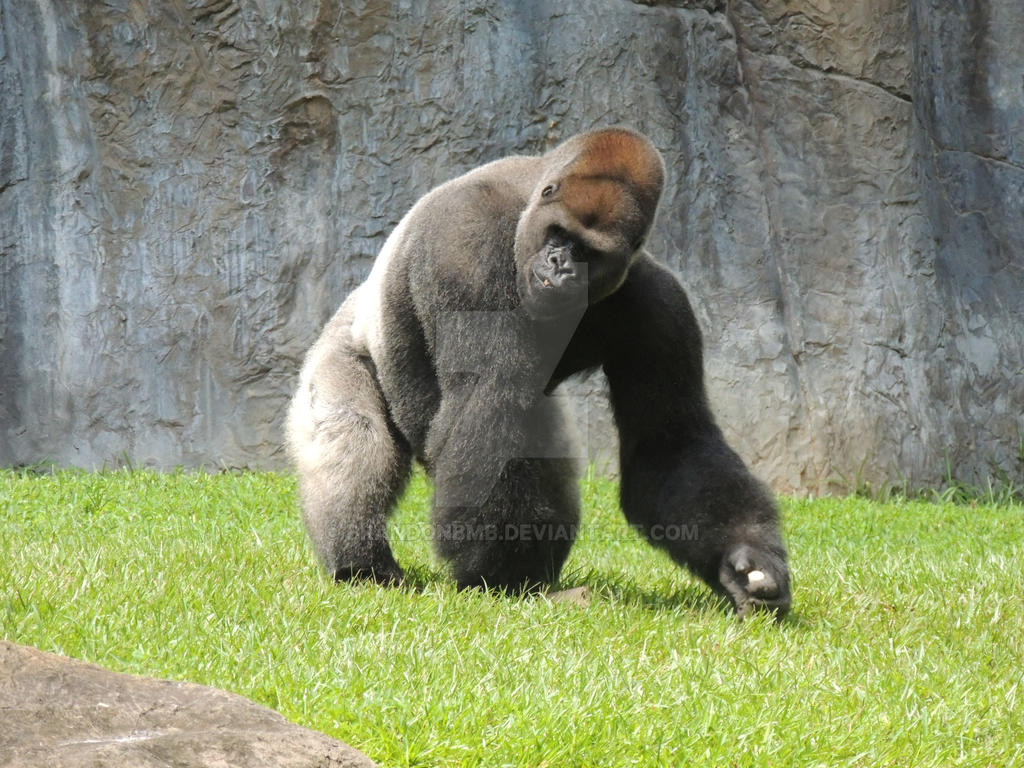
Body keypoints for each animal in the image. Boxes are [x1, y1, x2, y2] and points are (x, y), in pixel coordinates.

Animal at [286, 128, 790, 618]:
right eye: (560, 235)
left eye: (589, 252)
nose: (560, 265)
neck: (528, 201)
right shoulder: (465, 239)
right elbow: (493, 398)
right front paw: (498, 569)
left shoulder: (662, 306)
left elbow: (670, 442)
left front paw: (744, 559)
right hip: (342, 349)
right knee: (353, 435)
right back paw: (361, 563)